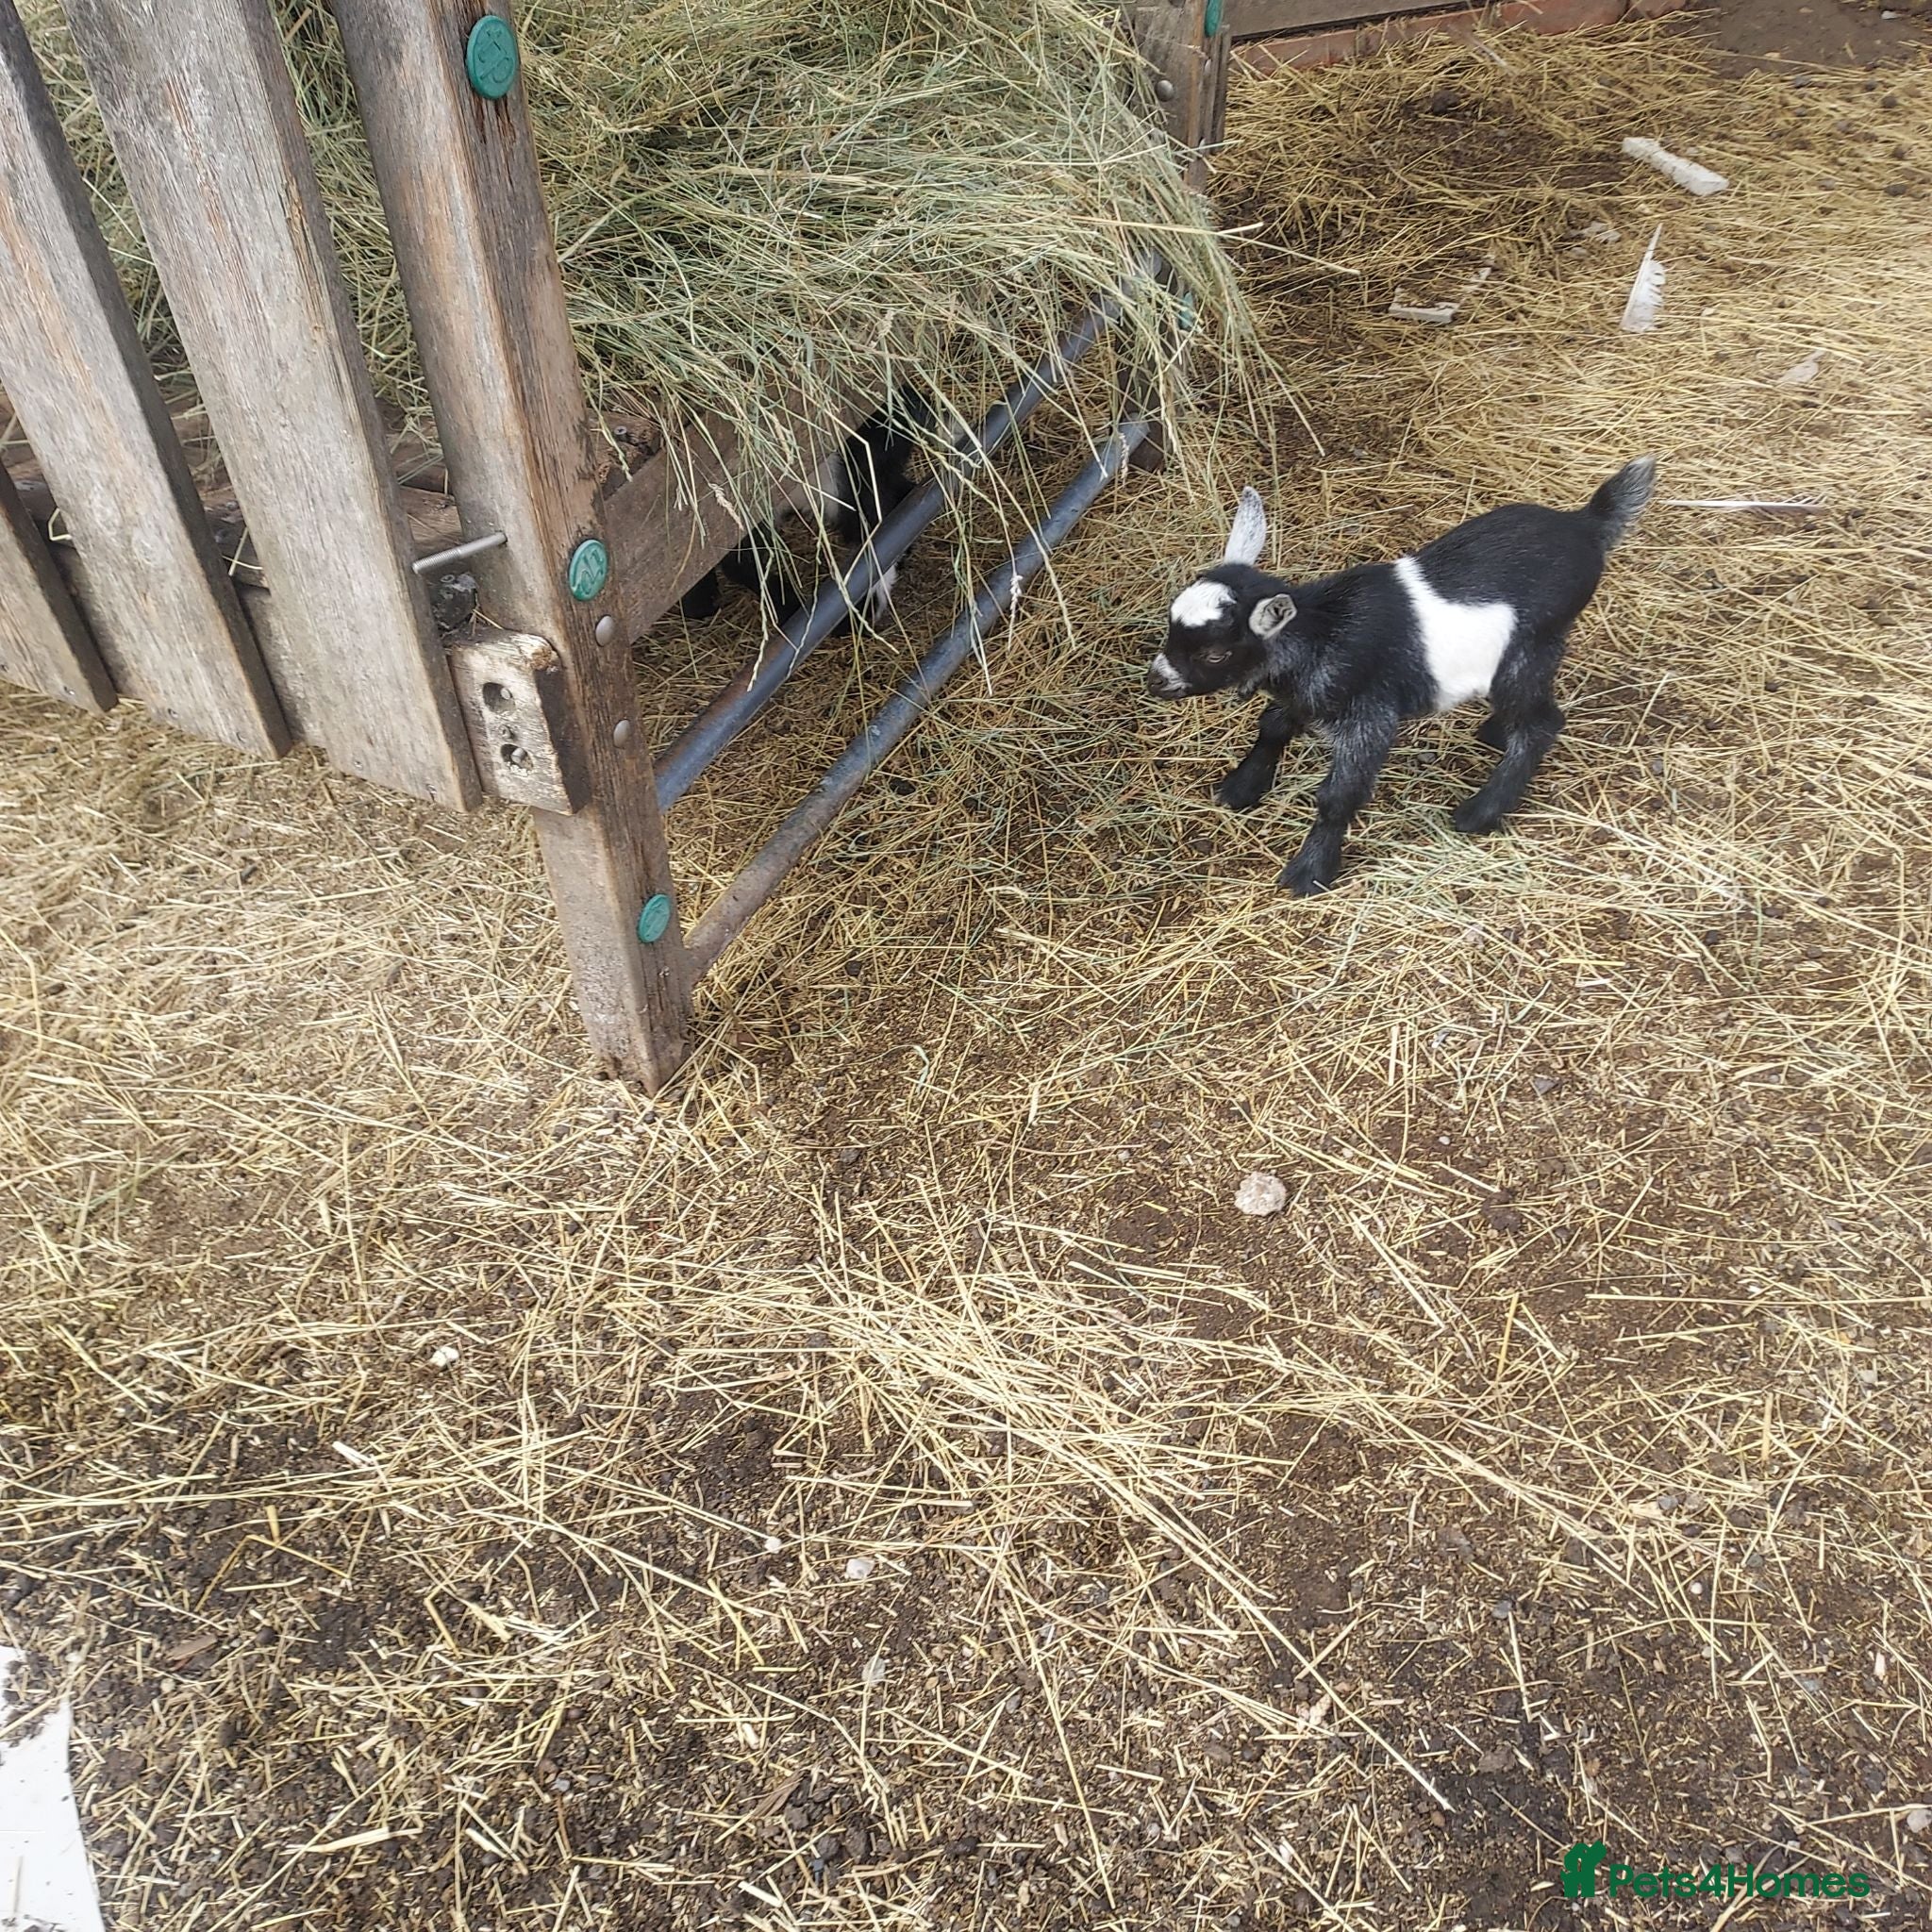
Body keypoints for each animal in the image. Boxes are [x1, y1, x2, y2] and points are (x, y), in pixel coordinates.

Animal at [1144, 459, 1656, 895]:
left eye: (1213, 654)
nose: (1156, 681)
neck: (1323, 632)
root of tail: (1586, 523)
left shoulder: (1370, 715)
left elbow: (1337, 796)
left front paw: (1310, 872)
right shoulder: (1311, 692)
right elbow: (1272, 725)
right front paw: (1241, 787)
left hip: (1529, 647)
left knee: (1541, 723)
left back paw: (1480, 812)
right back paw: (1494, 732)